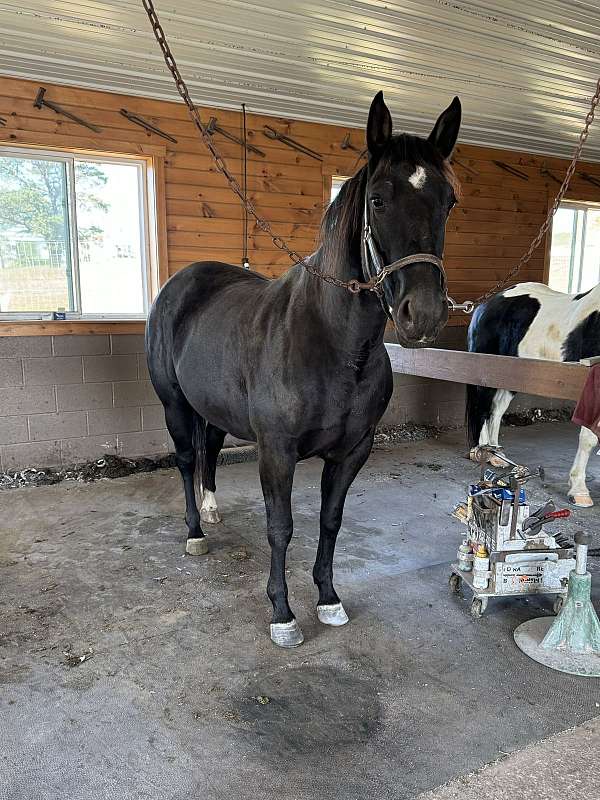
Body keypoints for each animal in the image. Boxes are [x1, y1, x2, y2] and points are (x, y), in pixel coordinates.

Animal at [146, 91, 462, 647]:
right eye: (377, 199)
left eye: (448, 201)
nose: (423, 315)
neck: (334, 345)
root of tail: (180, 284)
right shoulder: (277, 451)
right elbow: (282, 527)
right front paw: (282, 613)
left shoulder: (353, 451)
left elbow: (330, 521)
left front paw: (329, 599)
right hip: (175, 405)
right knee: (185, 460)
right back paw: (196, 532)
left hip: (213, 408)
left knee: (209, 450)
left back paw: (212, 510)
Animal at [466, 282, 600, 507]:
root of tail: (486, 305)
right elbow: (588, 439)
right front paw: (579, 491)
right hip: (486, 372)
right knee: (483, 409)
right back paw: (482, 452)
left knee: (496, 411)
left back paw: (497, 455)